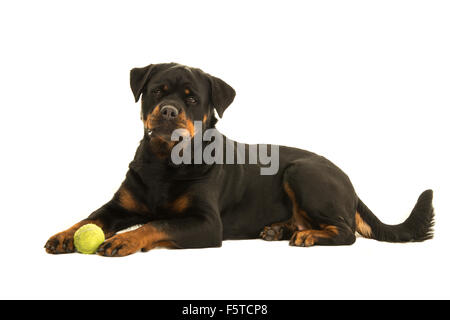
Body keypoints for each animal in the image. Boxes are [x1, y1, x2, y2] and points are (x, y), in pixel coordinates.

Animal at [44, 63, 434, 258]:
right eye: (156, 91)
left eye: (192, 99)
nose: (168, 111)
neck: (163, 164)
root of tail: (349, 181)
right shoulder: (119, 206)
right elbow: (89, 219)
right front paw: (66, 235)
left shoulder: (205, 223)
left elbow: (158, 224)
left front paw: (125, 240)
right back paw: (281, 229)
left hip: (302, 172)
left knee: (347, 231)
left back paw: (307, 236)